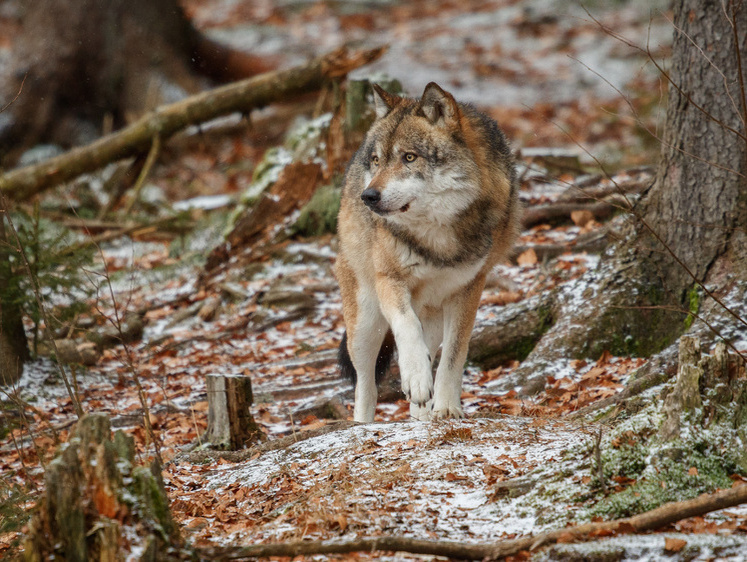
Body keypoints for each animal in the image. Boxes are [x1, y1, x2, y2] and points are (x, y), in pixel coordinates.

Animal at [338, 82, 520, 420]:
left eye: (409, 157)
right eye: (377, 160)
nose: (368, 196)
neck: (437, 237)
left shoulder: (470, 288)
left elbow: (454, 354)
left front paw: (447, 407)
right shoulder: (389, 280)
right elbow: (406, 327)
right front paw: (417, 378)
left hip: (431, 314)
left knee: (427, 355)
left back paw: (420, 416)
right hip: (365, 322)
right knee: (365, 384)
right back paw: (363, 423)